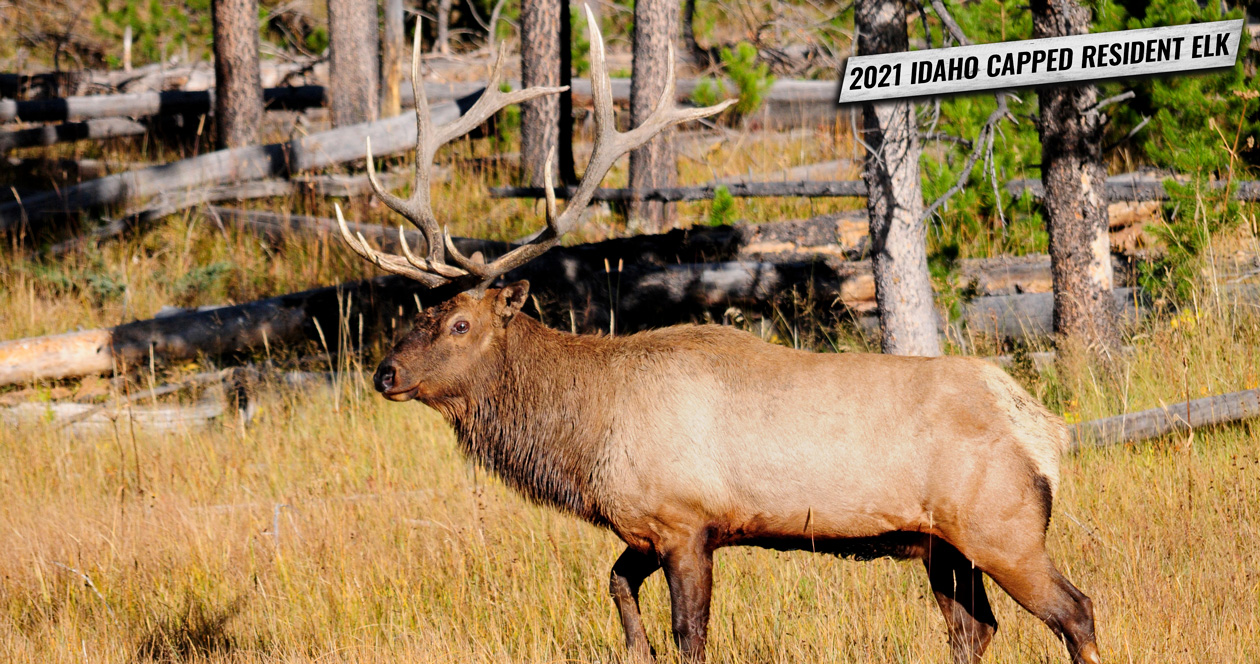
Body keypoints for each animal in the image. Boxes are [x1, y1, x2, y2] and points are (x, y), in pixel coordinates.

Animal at [329, 9, 1102, 664]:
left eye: (460, 323)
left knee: (1076, 611)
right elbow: (617, 588)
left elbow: (690, 635)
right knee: (976, 629)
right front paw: (633, 648)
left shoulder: (686, 522)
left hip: (1003, 528)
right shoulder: (645, 529)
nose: (385, 373)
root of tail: (1044, 430)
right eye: (419, 315)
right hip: (943, 546)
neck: (587, 438)